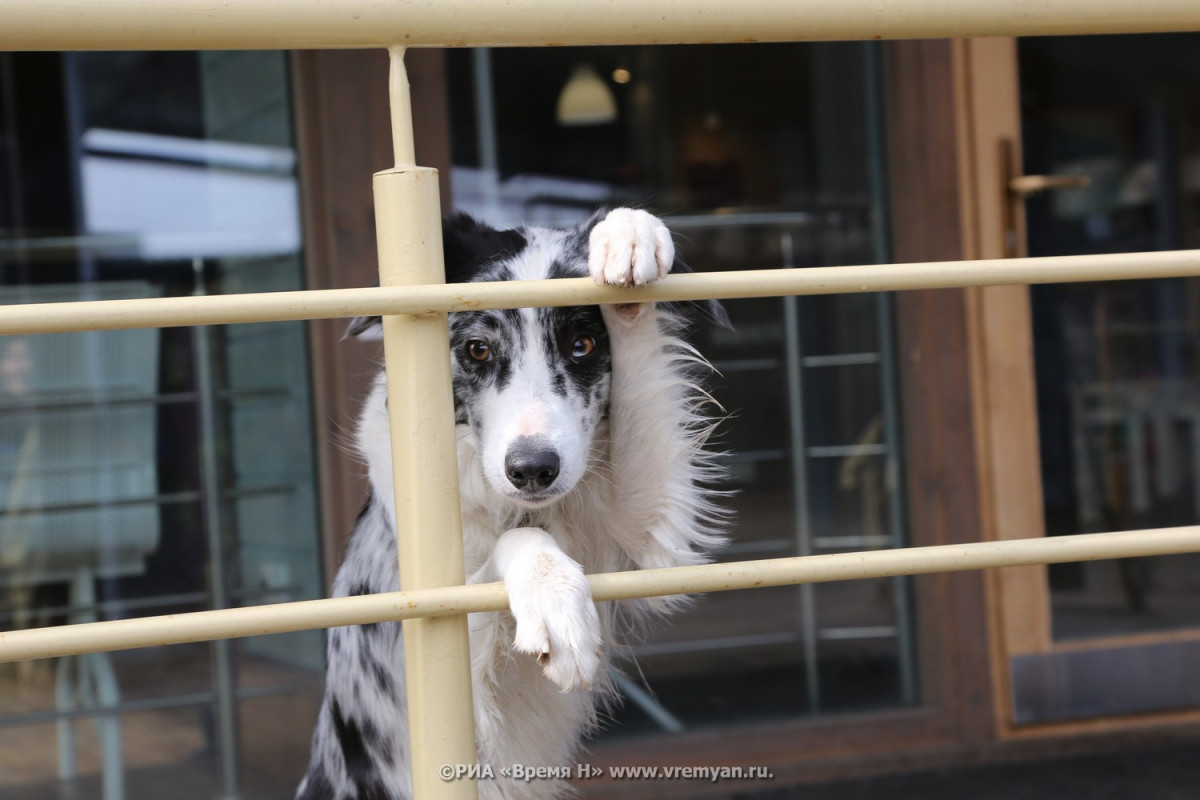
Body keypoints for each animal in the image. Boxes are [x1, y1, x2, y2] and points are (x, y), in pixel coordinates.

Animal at [297, 208, 729, 800]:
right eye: (478, 348)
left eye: (583, 345)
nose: (531, 470)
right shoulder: (445, 654)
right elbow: (513, 544)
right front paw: (554, 599)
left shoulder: (645, 530)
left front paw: (627, 234)